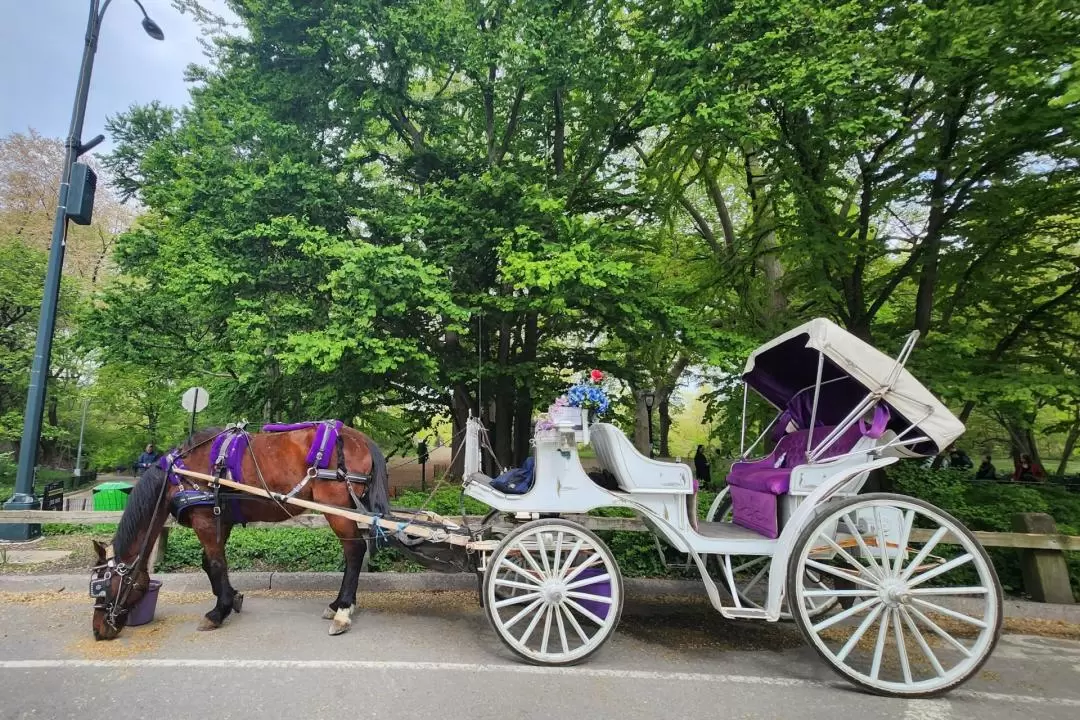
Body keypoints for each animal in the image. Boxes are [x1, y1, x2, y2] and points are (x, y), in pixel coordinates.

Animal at [90, 423, 390, 643]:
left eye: (101, 587)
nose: (98, 630)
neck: (177, 474)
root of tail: (359, 437)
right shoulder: (221, 520)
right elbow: (211, 564)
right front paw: (232, 598)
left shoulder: (205, 520)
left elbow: (215, 563)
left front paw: (217, 611)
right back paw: (338, 604)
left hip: (337, 509)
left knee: (354, 552)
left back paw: (343, 609)